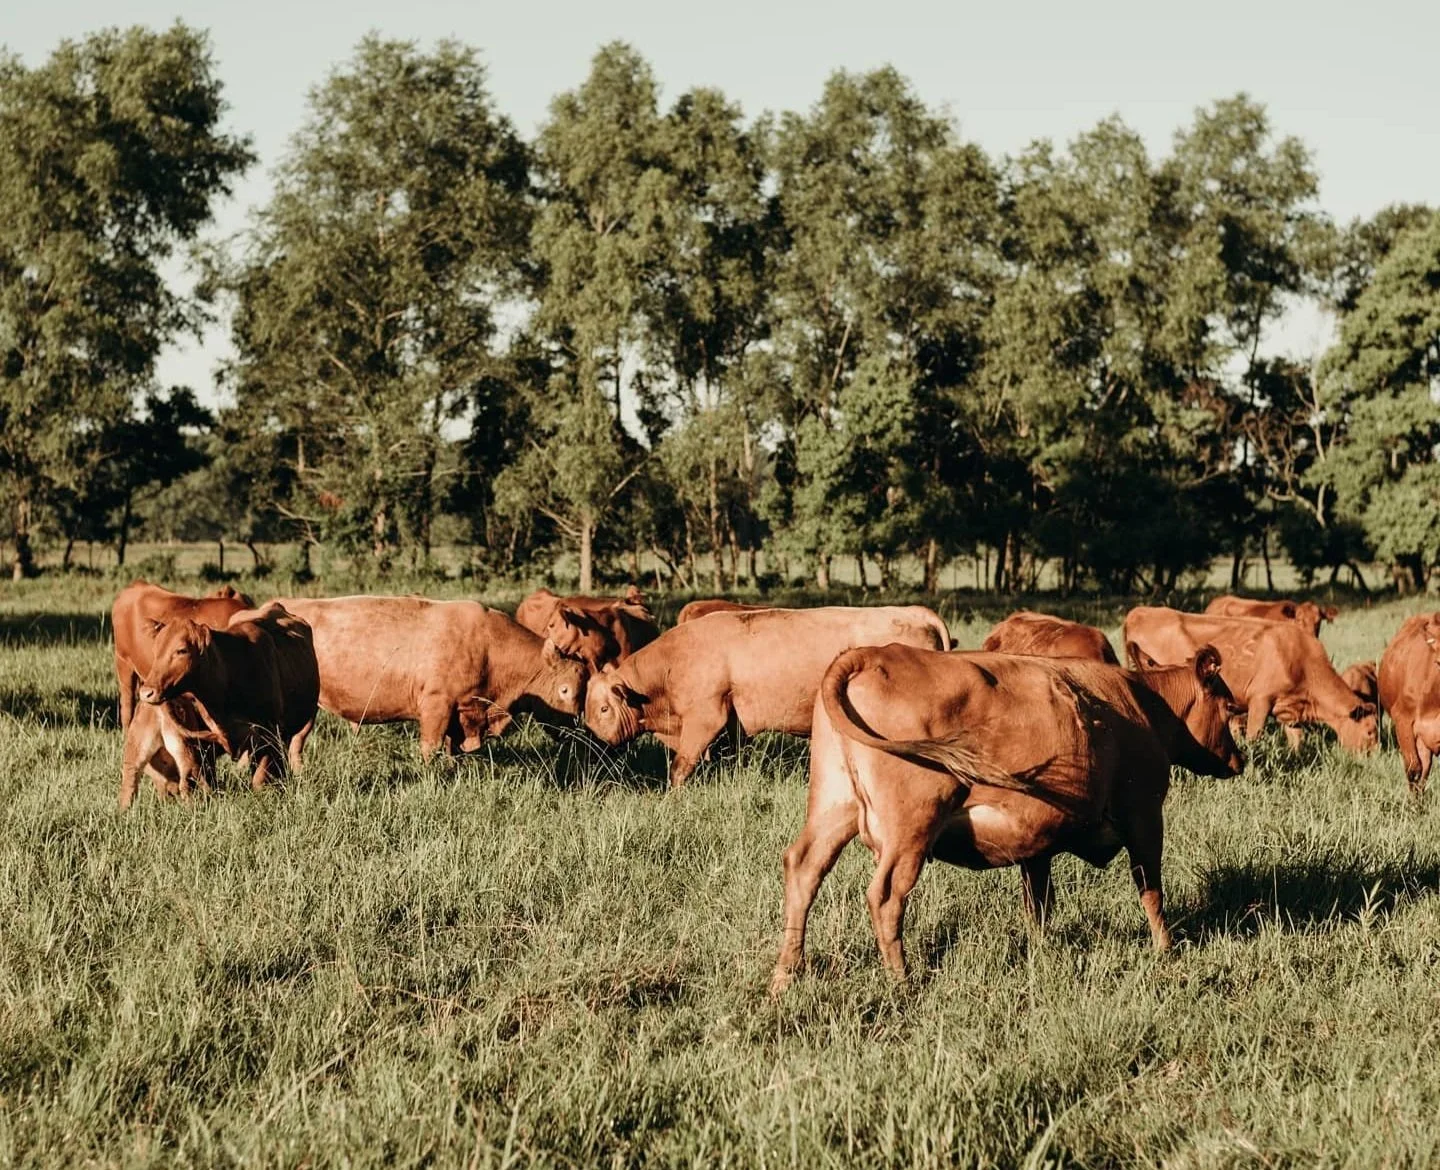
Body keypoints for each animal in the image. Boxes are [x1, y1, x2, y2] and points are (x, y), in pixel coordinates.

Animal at [274, 596, 587, 759]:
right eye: (564, 690)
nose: (573, 731)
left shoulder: (460, 714)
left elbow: (453, 748)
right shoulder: (437, 705)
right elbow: (430, 747)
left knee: (295, 743)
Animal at [584, 605, 952, 787]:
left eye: (603, 709)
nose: (596, 743)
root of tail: (912, 611)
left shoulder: (705, 718)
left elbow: (679, 768)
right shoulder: (732, 728)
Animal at [769, 644, 1242, 992]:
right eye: (1229, 706)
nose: (1238, 761)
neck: (1145, 706)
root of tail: (871, 653)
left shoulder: (1038, 840)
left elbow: (1039, 904)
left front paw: (1043, 952)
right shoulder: (1144, 814)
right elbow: (1151, 891)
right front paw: (1167, 949)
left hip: (835, 806)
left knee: (804, 868)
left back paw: (785, 976)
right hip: (911, 827)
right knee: (886, 895)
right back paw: (902, 981)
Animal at [1123, 607, 1377, 754]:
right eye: (1370, 732)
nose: (1373, 758)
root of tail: (1140, 611)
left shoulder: (1289, 710)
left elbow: (1297, 741)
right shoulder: (1260, 700)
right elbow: (1254, 737)